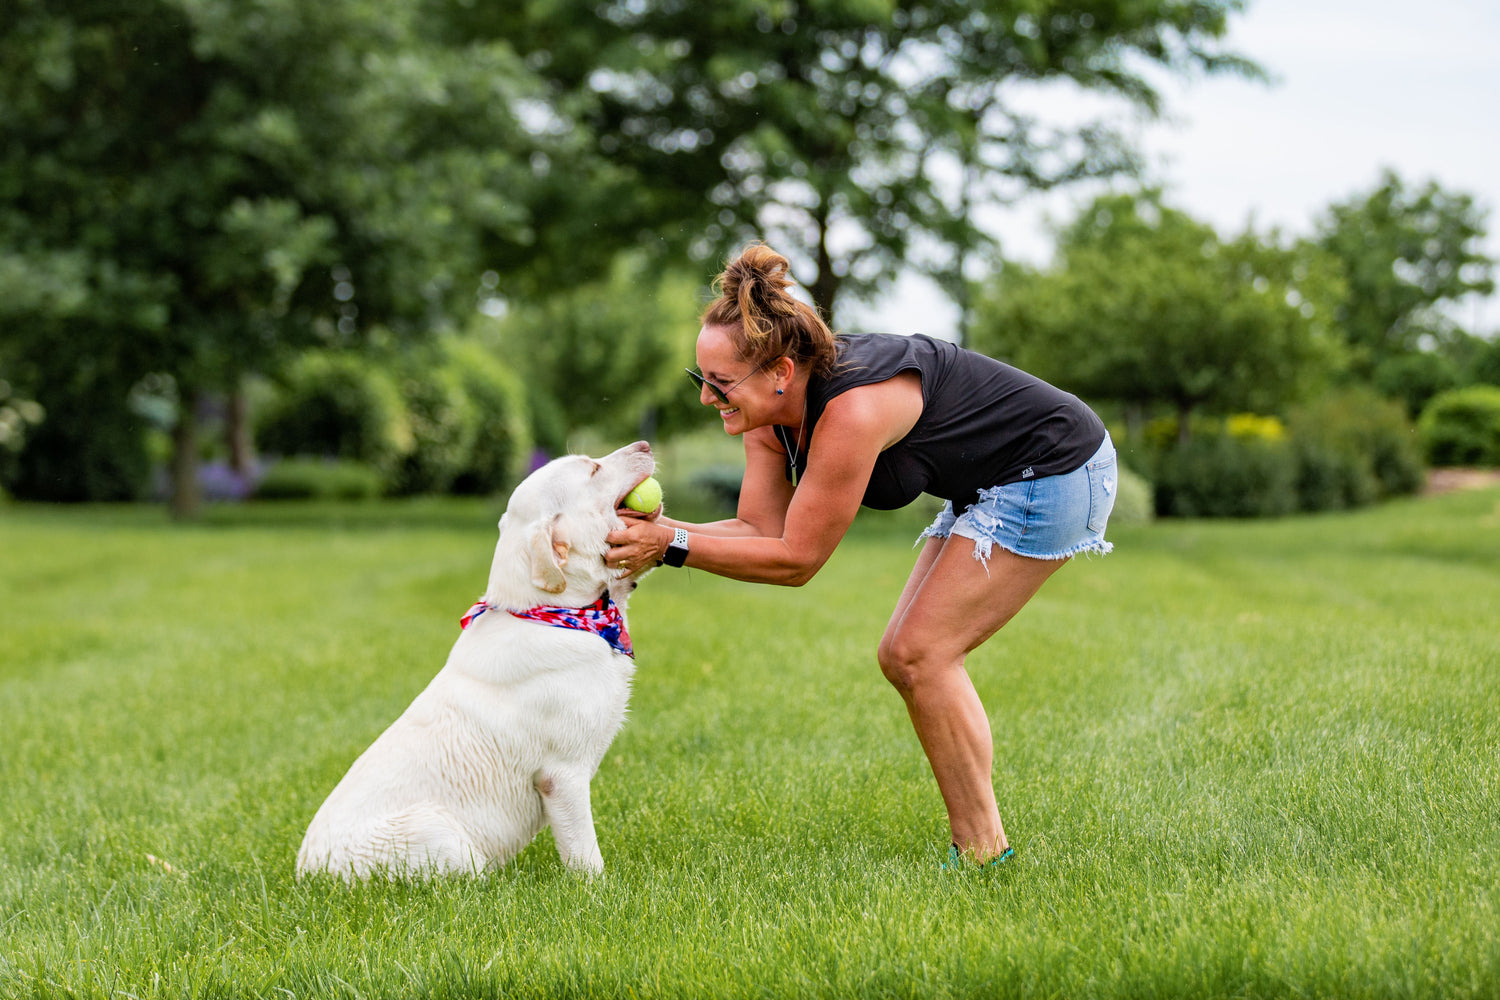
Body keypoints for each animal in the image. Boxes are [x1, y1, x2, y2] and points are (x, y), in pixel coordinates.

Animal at [298, 440, 657, 881]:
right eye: (592, 469)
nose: (644, 444)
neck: (559, 614)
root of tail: (308, 875)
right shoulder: (562, 775)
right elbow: (585, 853)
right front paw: (597, 888)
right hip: (441, 834)